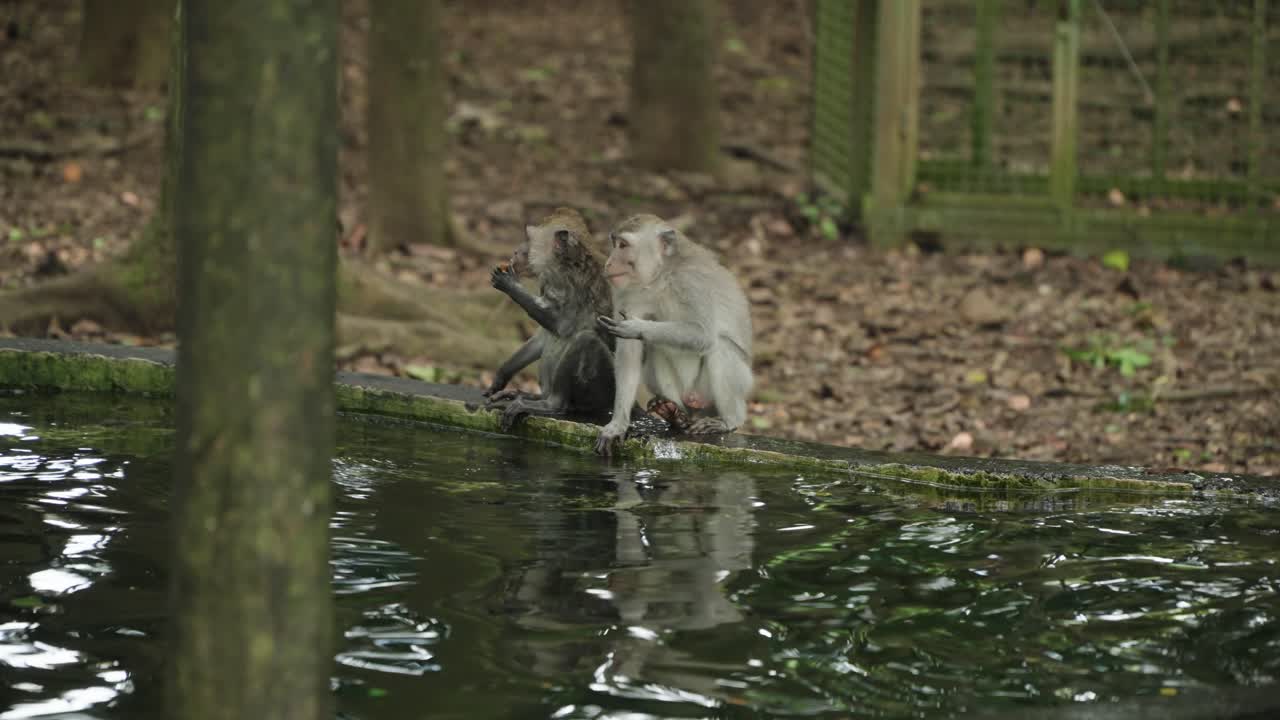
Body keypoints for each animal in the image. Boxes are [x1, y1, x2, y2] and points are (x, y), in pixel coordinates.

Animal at [484, 207, 616, 432]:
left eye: (529, 237)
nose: (515, 251)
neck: (565, 263)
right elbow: (542, 337)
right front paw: (501, 375)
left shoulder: (568, 284)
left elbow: (562, 327)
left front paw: (510, 284)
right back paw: (530, 396)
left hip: (604, 392)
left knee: (586, 340)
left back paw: (551, 404)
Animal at [593, 214, 754, 456]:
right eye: (615, 244)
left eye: (622, 245)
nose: (608, 263)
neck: (660, 277)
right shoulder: (626, 292)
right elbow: (630, 353)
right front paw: (618, 424)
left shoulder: (692, 282)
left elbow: (703, 335)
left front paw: (637, 327)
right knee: (656, 347)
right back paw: (675, 415)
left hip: (731, 385)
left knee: (721, 347)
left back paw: (730, 419)